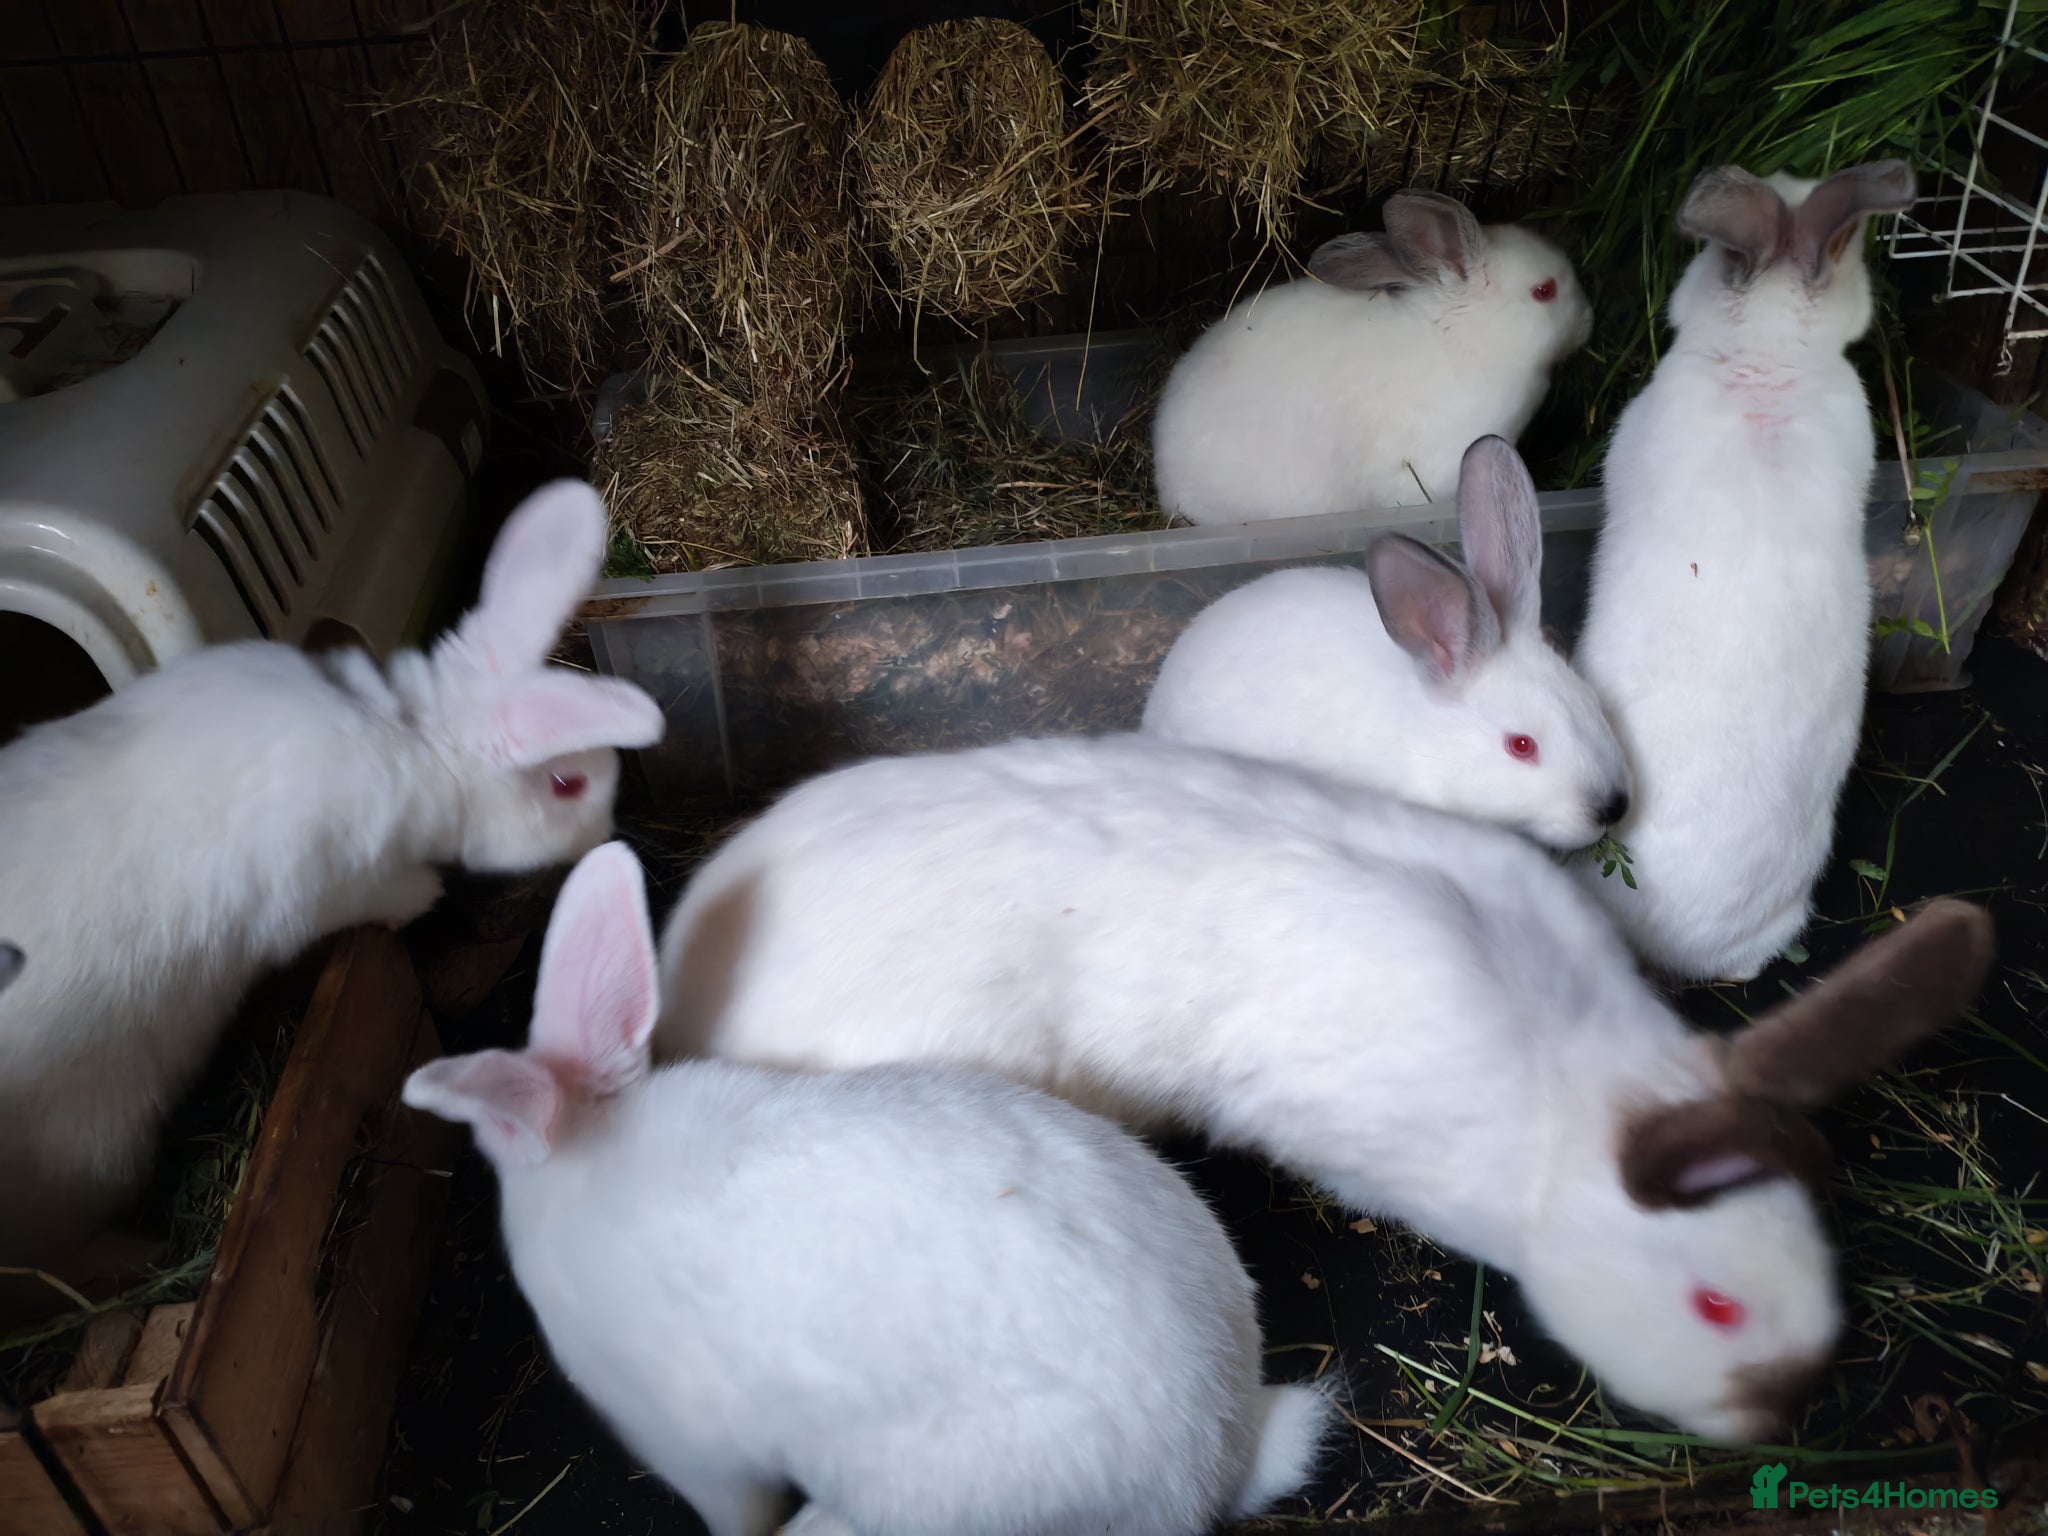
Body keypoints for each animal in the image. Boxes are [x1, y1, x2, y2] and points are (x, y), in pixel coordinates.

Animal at [0, 481, 665, 1273]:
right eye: (568, 784)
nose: (604, 839)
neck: (416, 741)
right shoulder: (323, 887)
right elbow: (374, 898)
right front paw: (424, 893)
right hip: (95, 1145)